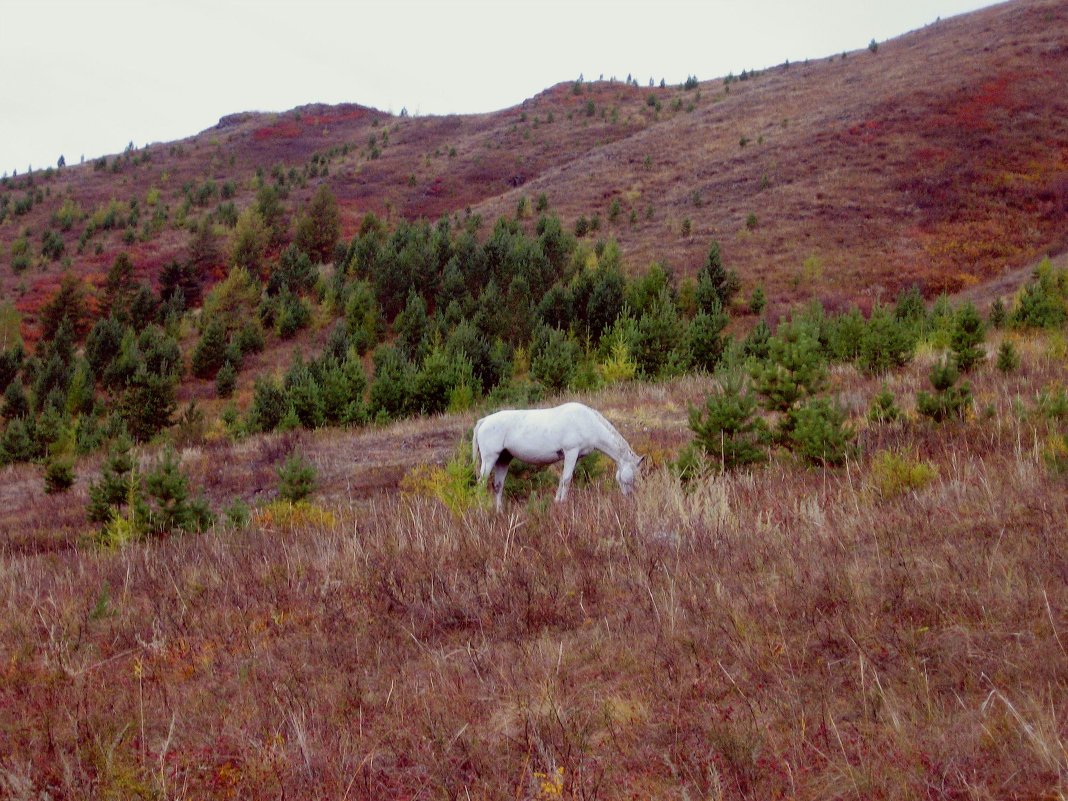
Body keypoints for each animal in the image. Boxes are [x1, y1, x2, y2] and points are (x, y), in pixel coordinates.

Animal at [469, 403, 636, 510]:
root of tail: (484, 421)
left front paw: (557, 502)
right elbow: (567, 480)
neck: (588, 422)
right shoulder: (571, 452)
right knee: (481, 483)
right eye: (633, 476)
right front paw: (563, 503)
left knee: (498, 486)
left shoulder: (574, 457)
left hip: (503, 459)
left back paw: (499, 512)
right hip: (489, 459)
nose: (629, 497)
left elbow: (562, 478)